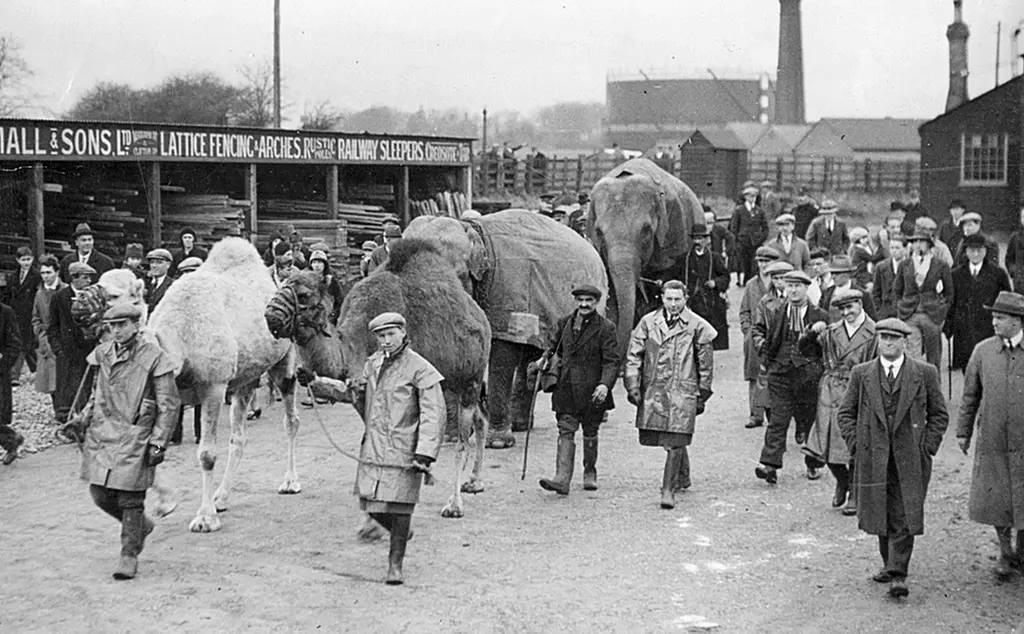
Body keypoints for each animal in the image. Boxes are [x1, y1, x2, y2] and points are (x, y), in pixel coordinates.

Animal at [74, 240, 299, 532]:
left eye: (112, 295)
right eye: (97, 282)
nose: (78, 303)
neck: (179, 342)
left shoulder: (214, 385)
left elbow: (206, 454)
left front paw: (204, 518)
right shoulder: (164, 388)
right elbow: (147, 446)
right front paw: (166, 502)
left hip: (284, 360)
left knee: (291, 419)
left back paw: (290, 482)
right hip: (246, 377)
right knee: (239, 435)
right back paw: (221, 497)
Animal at [268, 240, 491, 518]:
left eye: (304, 294)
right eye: (282, 284)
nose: (270, 315)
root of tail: (482, 320)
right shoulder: (362, 392)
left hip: (470, 379)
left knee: (463, 439)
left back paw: (454, 504)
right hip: (453, 385)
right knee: (481, 420)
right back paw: (474, 481)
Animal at [401, 210, 606, 448]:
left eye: (457, 274)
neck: (471, 228)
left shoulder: (508, 289)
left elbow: (501, 355)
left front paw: (497, 443)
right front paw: (452, 438)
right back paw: (520, 425)